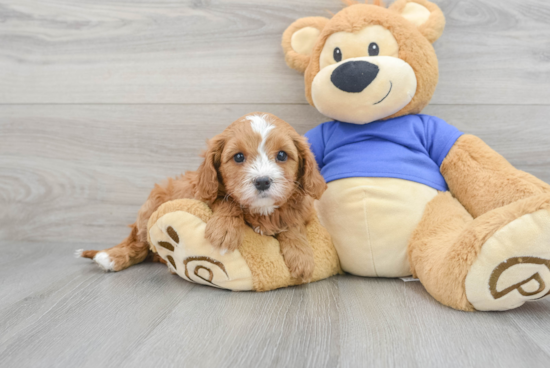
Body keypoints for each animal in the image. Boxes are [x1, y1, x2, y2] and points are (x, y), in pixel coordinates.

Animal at [78, 113, 328, 280]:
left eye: (282, 155)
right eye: (238, 157)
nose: (263, 181)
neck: (262, 212)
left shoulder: (300, 209)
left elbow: (293, 223)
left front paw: (301, 255)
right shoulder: (203, 192)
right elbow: (225, 200)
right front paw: (225, 229)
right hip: (151, 205)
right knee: (139, 245)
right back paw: (112, 258)